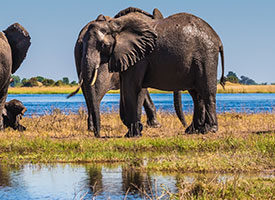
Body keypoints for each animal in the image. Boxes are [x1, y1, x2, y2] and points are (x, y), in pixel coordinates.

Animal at [68, 8, 188, 138]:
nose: (185, 125)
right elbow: (140, 89)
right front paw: (152, 126)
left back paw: (92, 128)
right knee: (97, 91)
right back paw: (93, 129)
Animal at [80, 6, 226, 138]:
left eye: (104, 45)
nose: (98, 135)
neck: (115, 25)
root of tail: (218, 39)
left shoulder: (140, 57)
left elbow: (131, 87)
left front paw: (132, 134)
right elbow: (131, 89)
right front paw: (135, 131)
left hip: (206, 55)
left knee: (207, 91)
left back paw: (210, 129)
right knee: (196, 95)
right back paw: (194, 130)